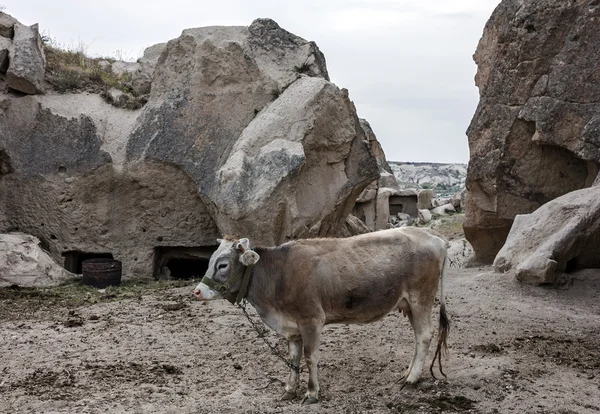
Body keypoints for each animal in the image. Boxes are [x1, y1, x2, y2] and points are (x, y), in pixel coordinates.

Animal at [195, 226, 448, 404]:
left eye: (223, 265)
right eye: (210, 261)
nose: (197, 291)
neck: (277, 275)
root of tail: (433, 237)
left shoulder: (312, 319)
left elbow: (310, 357)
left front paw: (312, 393)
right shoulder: (292, 328)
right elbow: (294, 358)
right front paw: (289, 390)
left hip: (420, 298)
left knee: (424, 335)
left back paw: (412, 379)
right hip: (409, 304)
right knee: (417, 337)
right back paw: (407, 372)